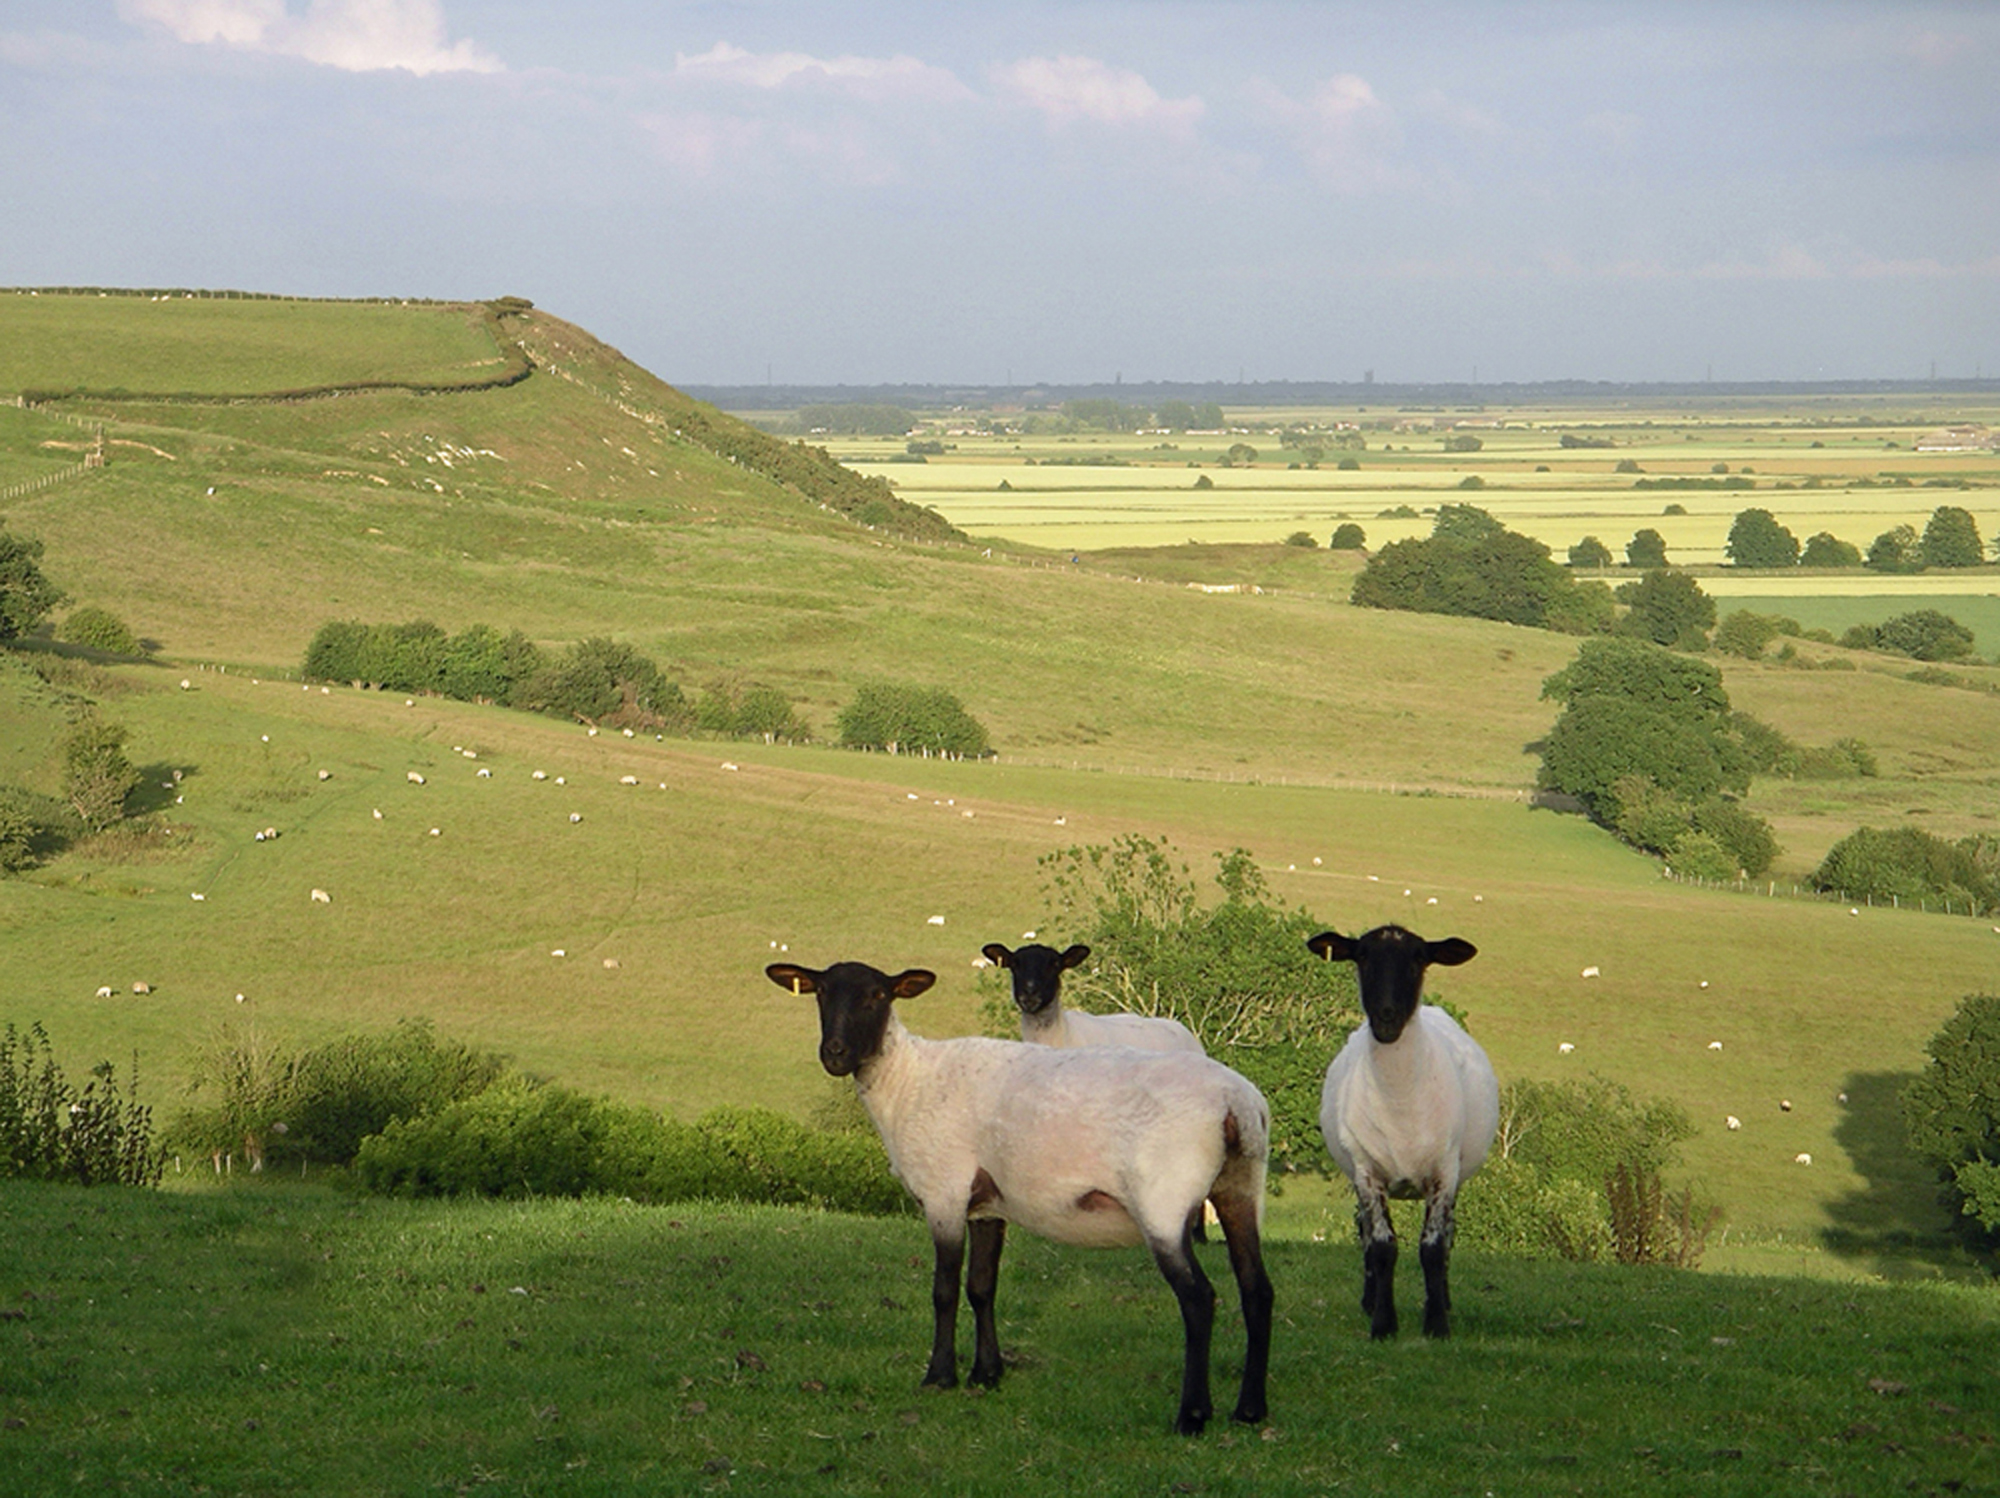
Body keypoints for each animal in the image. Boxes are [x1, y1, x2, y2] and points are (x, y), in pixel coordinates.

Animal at [756, 960, 1272, 1440]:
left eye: (879, 995)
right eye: (821, 992)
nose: (835, 1053)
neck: (908, 1081)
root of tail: (1238, 1102)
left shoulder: (944, 1190)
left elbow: (944, 1290)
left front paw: (939, 1376)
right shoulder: (987, 1204)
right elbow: (982, 1287)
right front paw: (987, 1374)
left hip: (1165, 1200)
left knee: (1199, 1298)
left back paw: (1193, 1415)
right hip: (1240, 1187)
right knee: (1257, 1289)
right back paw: (1250, 1410)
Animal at [1304, 924, 1496, 1344]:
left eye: (1419, 959)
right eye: (1361, 957)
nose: (1386, 1018)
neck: (1400, 1104)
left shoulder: (1444, 1173)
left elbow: (1433, 1248)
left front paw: (1437, 1323)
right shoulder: (1367, 1172)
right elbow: (1381, 1246)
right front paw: (1382, 1324)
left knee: (1448, 1236)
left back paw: (1443, 1300)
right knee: (1363, 1230)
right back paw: (1369, 1299)